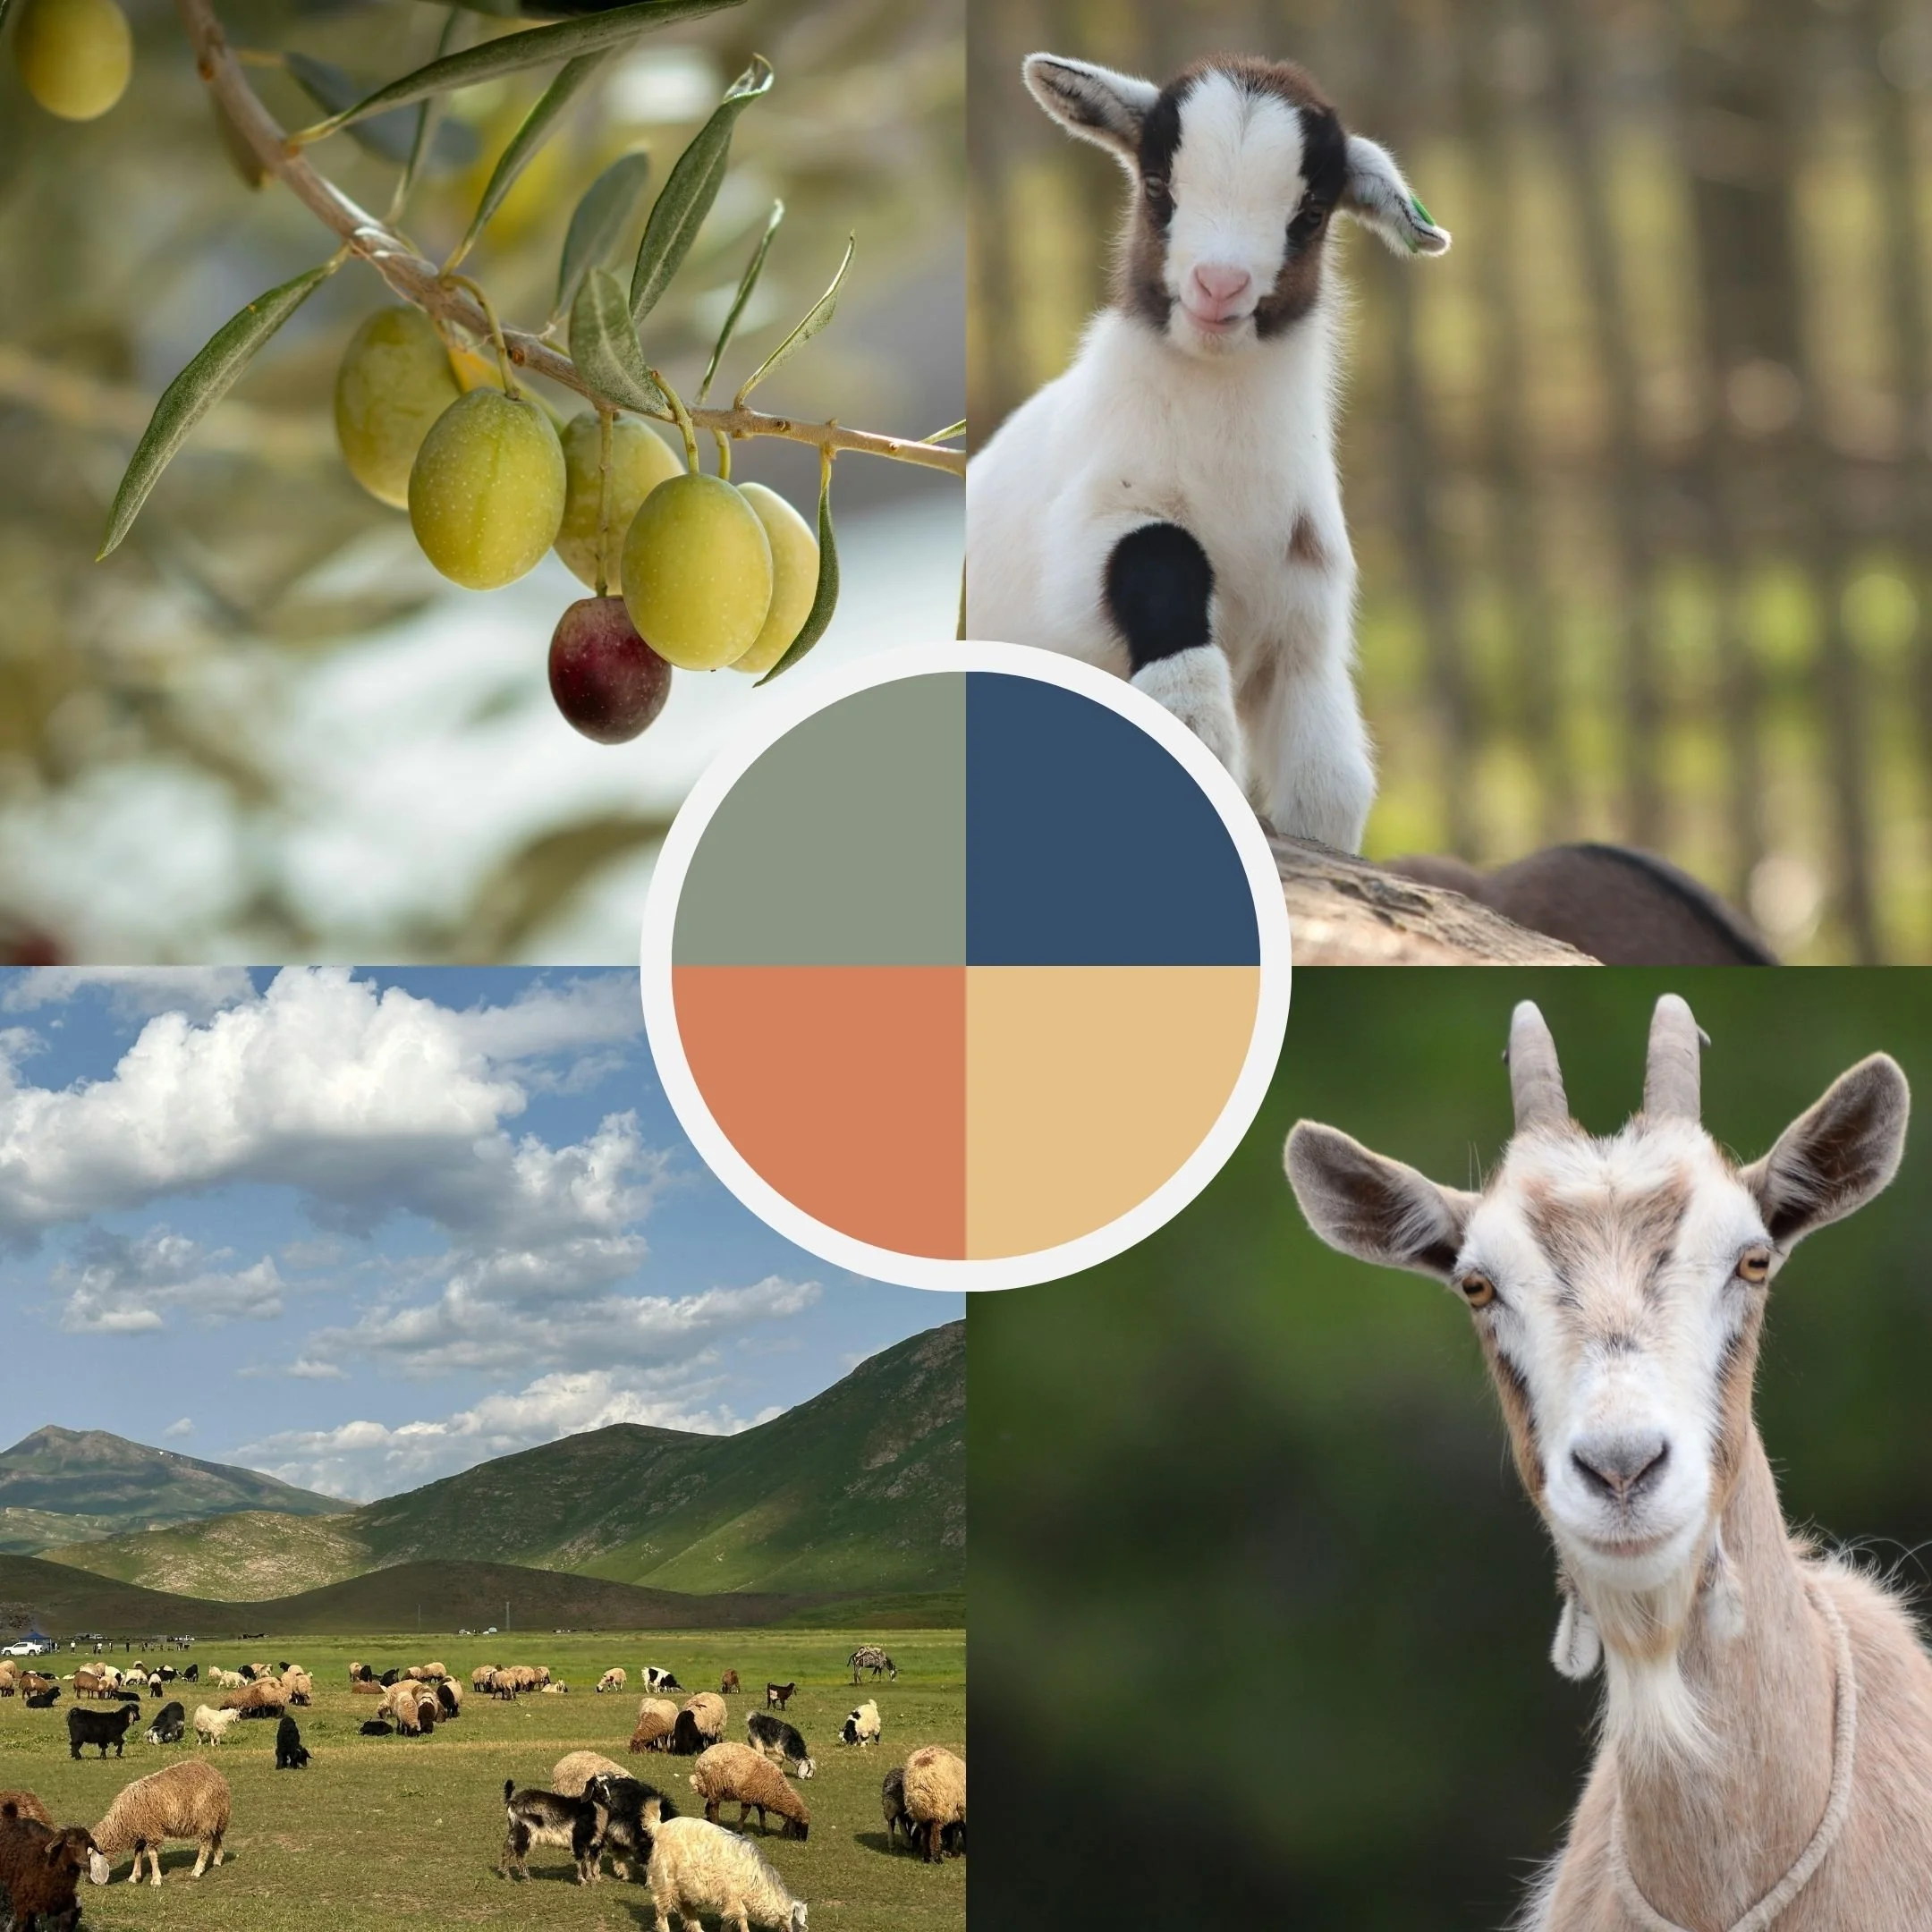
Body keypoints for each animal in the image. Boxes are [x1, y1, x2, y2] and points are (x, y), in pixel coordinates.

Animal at [967, 52, 1448, 850]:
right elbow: (1162, 557)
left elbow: (1329, 786)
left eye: (1309, 214)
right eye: (1159, 187)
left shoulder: (1303, 629)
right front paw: (1195, 723)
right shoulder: (1092, 531)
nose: (1219, 285)